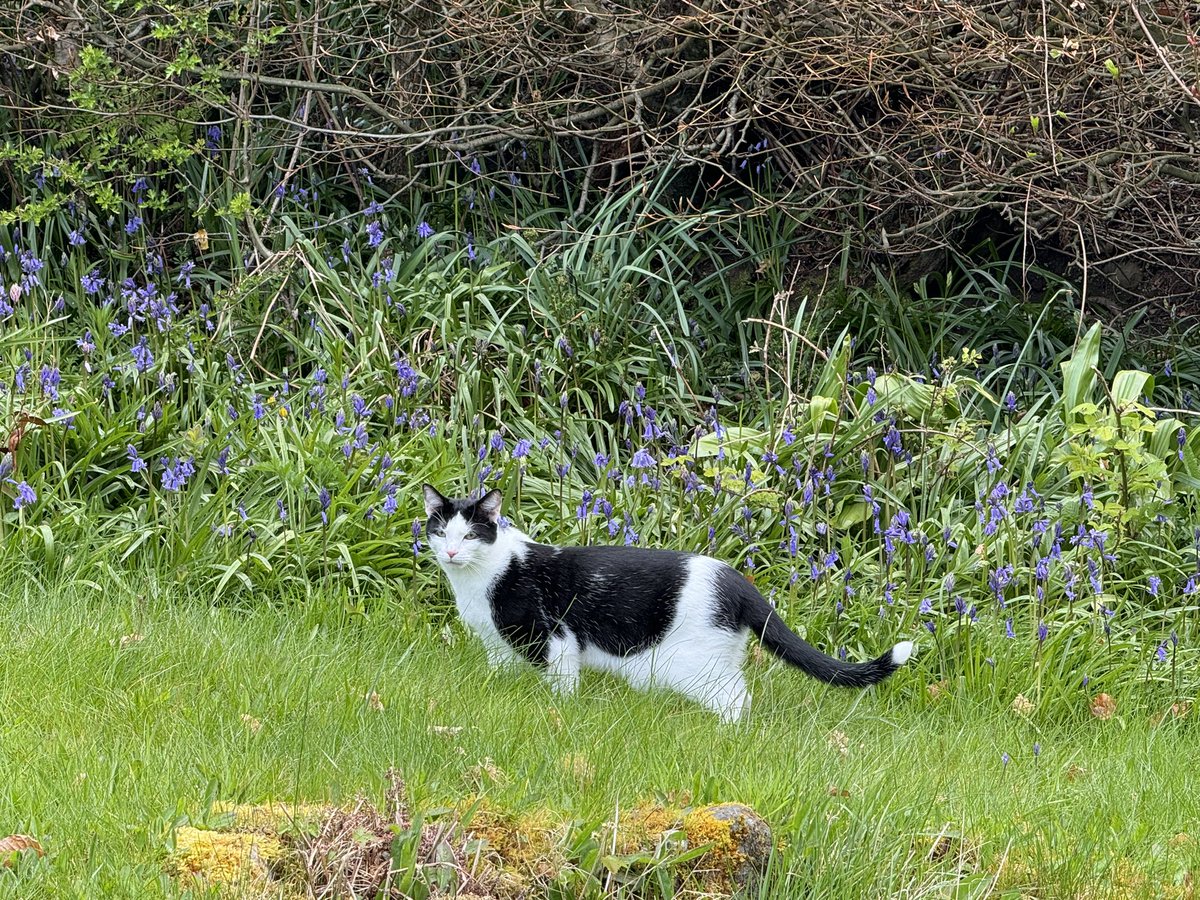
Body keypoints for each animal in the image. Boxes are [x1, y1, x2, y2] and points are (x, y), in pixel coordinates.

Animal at [422, 487, 907, 724]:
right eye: (441, 532)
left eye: (470, 535)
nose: (451, 552)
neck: (481, 576)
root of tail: (738, 579)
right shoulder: (497, 646)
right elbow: (500, 672)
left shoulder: (556, 638)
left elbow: (563, 684)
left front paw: (560, 712)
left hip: (693, 663)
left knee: (737, 698)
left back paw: (726, 737)